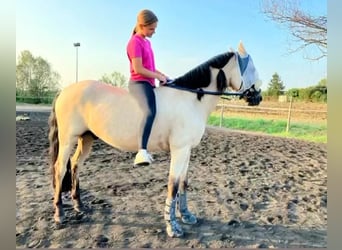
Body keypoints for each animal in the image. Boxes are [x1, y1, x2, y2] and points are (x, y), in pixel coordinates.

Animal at [48, 41, 262, 236]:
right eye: (251, 67)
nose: (258, 97)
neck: (191, 100)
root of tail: (64, 91)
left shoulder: (187, 150)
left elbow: (183, 183)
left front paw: (186, 215)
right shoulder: (179, 150)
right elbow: (173, 185)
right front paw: (172, 226)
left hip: (86, 139)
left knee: (76, 164)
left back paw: (79, 205)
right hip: (68, 139)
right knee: (60, 169)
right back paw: (59, 215)